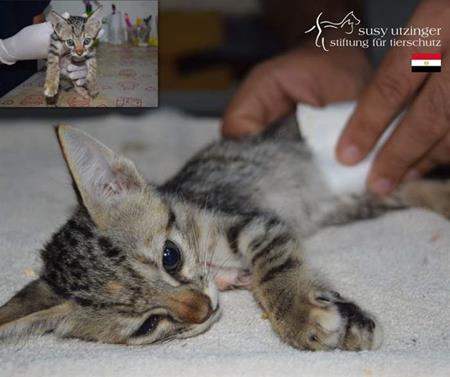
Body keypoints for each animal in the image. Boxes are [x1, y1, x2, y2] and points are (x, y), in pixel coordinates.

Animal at [0, 124, 450, 350]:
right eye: (148, 325)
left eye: (170, 256)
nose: (203, 309)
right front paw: (346, 319)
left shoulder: (255, 224)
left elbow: (276, 272)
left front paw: (298, 317)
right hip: (373, 194)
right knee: (414, 184)